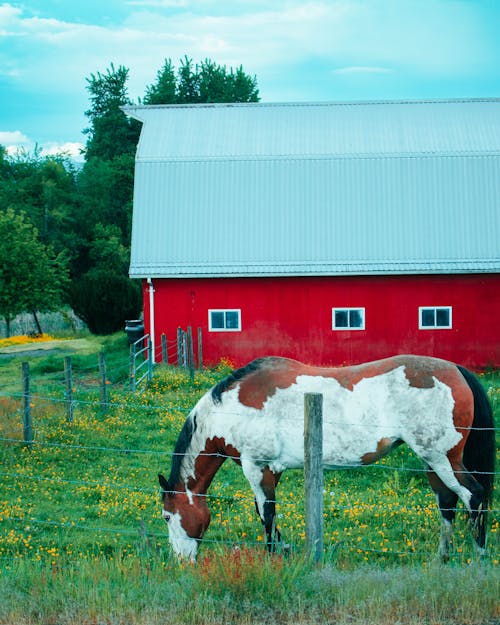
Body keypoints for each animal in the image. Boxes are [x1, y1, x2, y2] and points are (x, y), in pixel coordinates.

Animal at [158, 356, 494, 560]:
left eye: (166, 517)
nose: (181, 560)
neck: (233, 408)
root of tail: (456, 370)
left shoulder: (256, 467)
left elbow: (266, 514)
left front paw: (271, 555)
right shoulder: (271, 471)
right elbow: (269, 513)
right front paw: (283, 549)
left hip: (442, 459)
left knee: (474, 497)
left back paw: (479, 557)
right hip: (432, 462)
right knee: (447, 503)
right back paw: (442, 558)